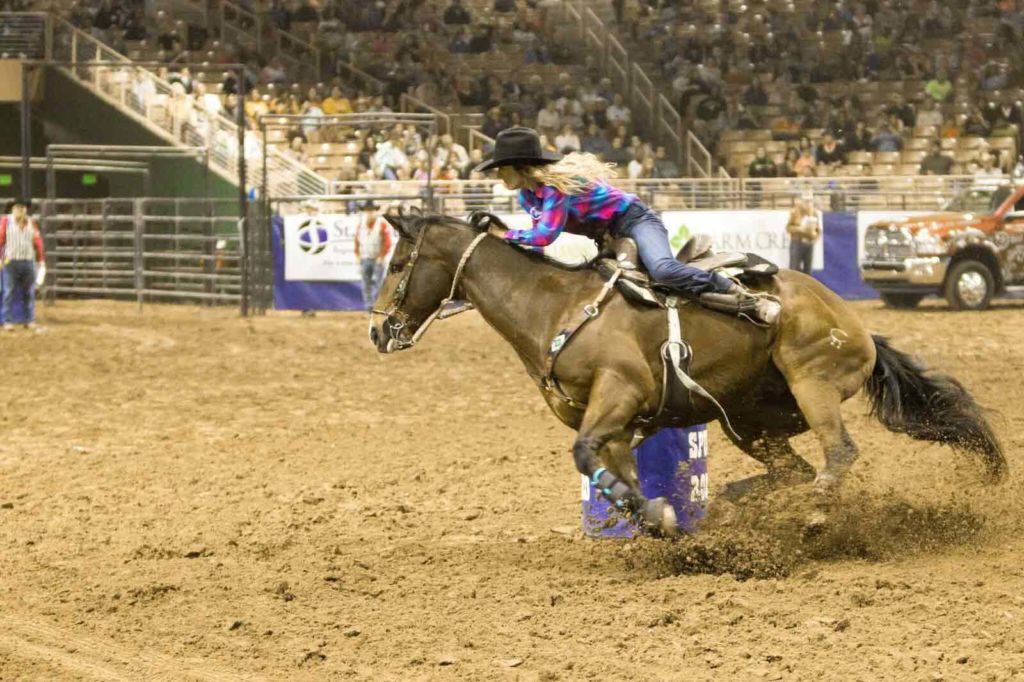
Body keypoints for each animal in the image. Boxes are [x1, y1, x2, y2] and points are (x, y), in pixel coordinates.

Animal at [368, 210, 1007, 532]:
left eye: (397, 263)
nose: (377, 330)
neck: (553, 305)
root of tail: (859, 327)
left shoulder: (618, 395)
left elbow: (585, 455)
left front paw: (657, 517)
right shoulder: (618, 424)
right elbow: (616, 474)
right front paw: (659, 523)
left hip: (814, 383)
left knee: (839, 454)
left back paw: (813, 518)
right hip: (748, 421)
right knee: (794, 471)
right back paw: (734, 506)